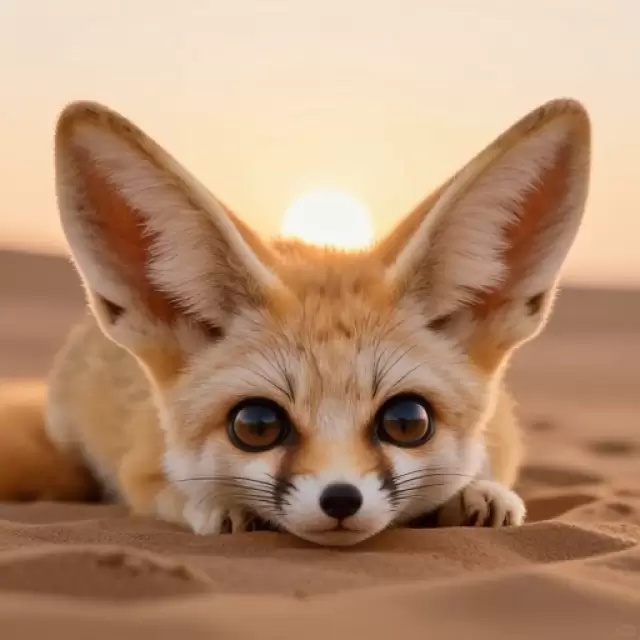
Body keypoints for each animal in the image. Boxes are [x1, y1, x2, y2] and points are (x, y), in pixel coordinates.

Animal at [1, 97, 590, 547]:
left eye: (407, 421)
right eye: (256, 426)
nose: (341, 498)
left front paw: (478, 492)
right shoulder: (140, 468)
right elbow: (174, 491)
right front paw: (220, 506)